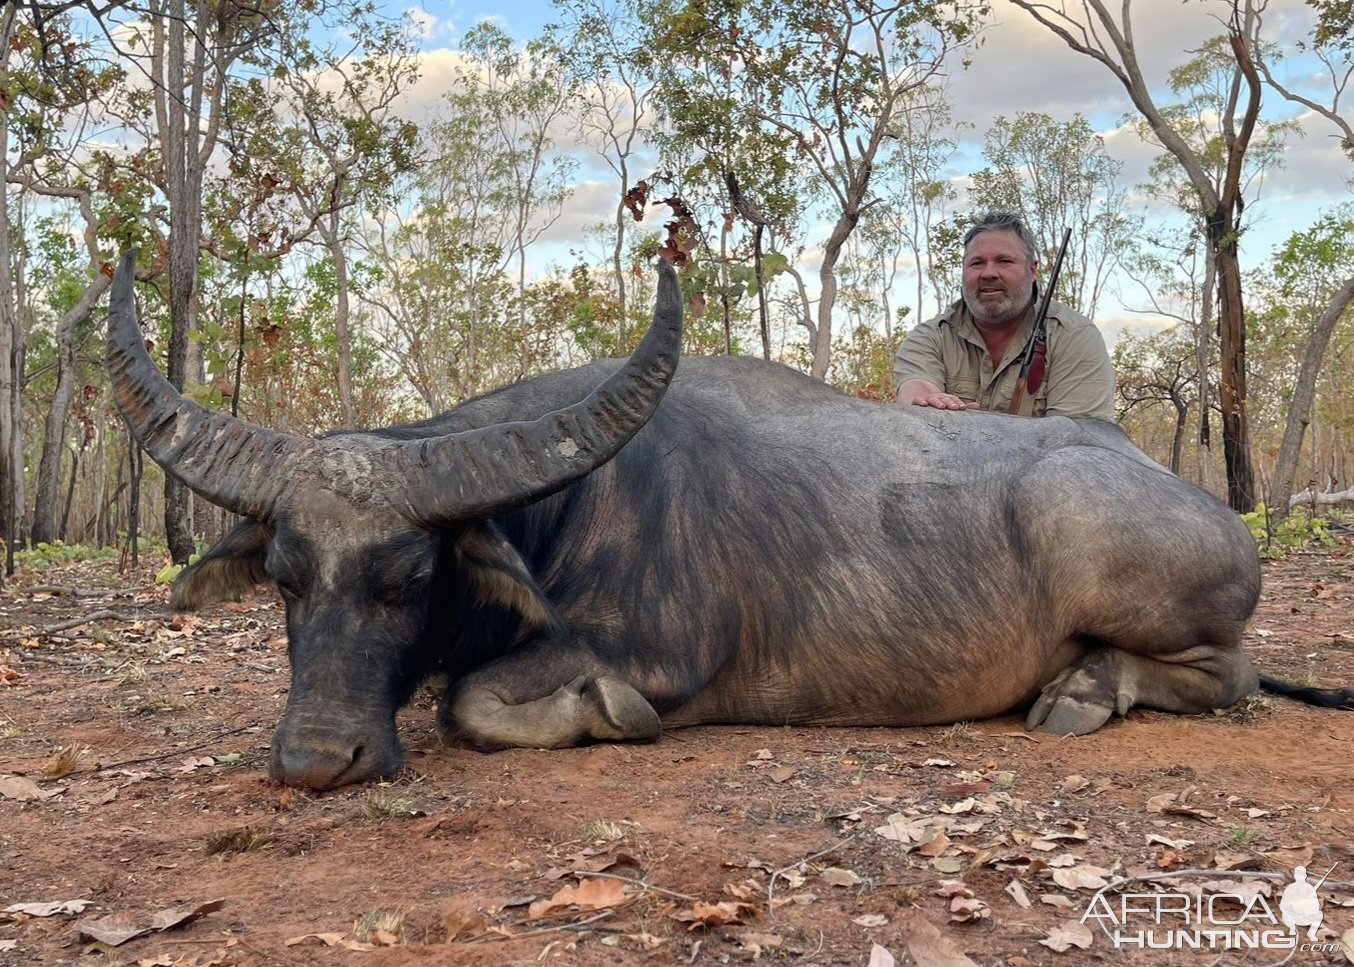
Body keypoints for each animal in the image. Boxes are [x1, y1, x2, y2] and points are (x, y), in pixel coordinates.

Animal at [105, 245, 1343, 785]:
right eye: (283, 576)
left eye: (410, 576)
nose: (315, 759)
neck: (562, 504)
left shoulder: (658, 655)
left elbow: (472, 702)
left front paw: (605, 715)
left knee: (1229, 674)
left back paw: (1082, 691)